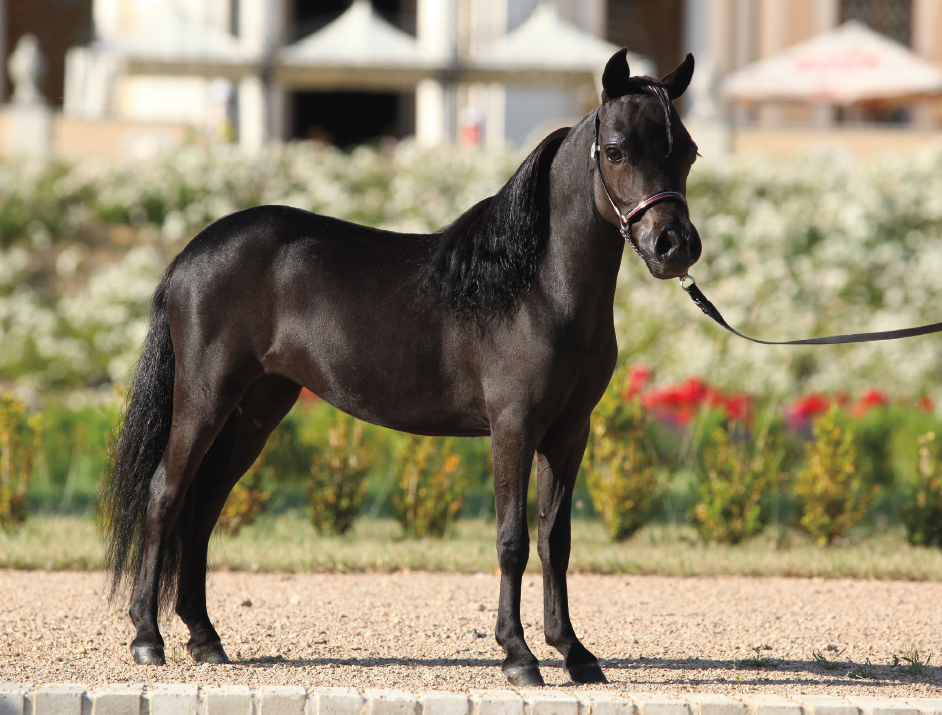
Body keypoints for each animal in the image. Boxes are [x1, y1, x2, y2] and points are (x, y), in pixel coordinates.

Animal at [107, 47, 704, 684]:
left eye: (687, 150)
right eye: (615, 149)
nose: (674, 245)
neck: (534, 287)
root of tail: (191, 254)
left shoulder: (569, 433)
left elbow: (555, 540)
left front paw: (574, 652)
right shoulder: (514, 428)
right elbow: (512, 540)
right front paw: (518, 656)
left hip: (256, 409)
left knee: (205, 506)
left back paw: (205, 638)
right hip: (205, 398)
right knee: (166, 494)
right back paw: (147, 638)